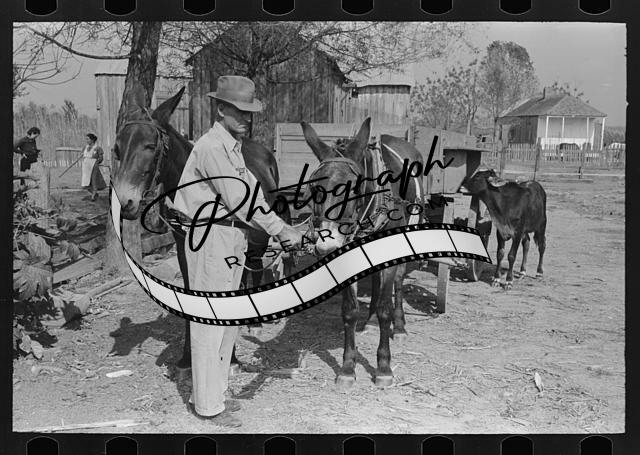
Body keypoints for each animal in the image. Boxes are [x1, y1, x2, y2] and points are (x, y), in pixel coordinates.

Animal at [300, 117, 427, 387]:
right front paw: (348, 367)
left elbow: (384, 309)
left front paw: (384, 367)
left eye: (353, 188)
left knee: (398, 282)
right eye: (314, 189)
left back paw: (400, 326)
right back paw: (369, 322)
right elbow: (349, 311)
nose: (326, 246)